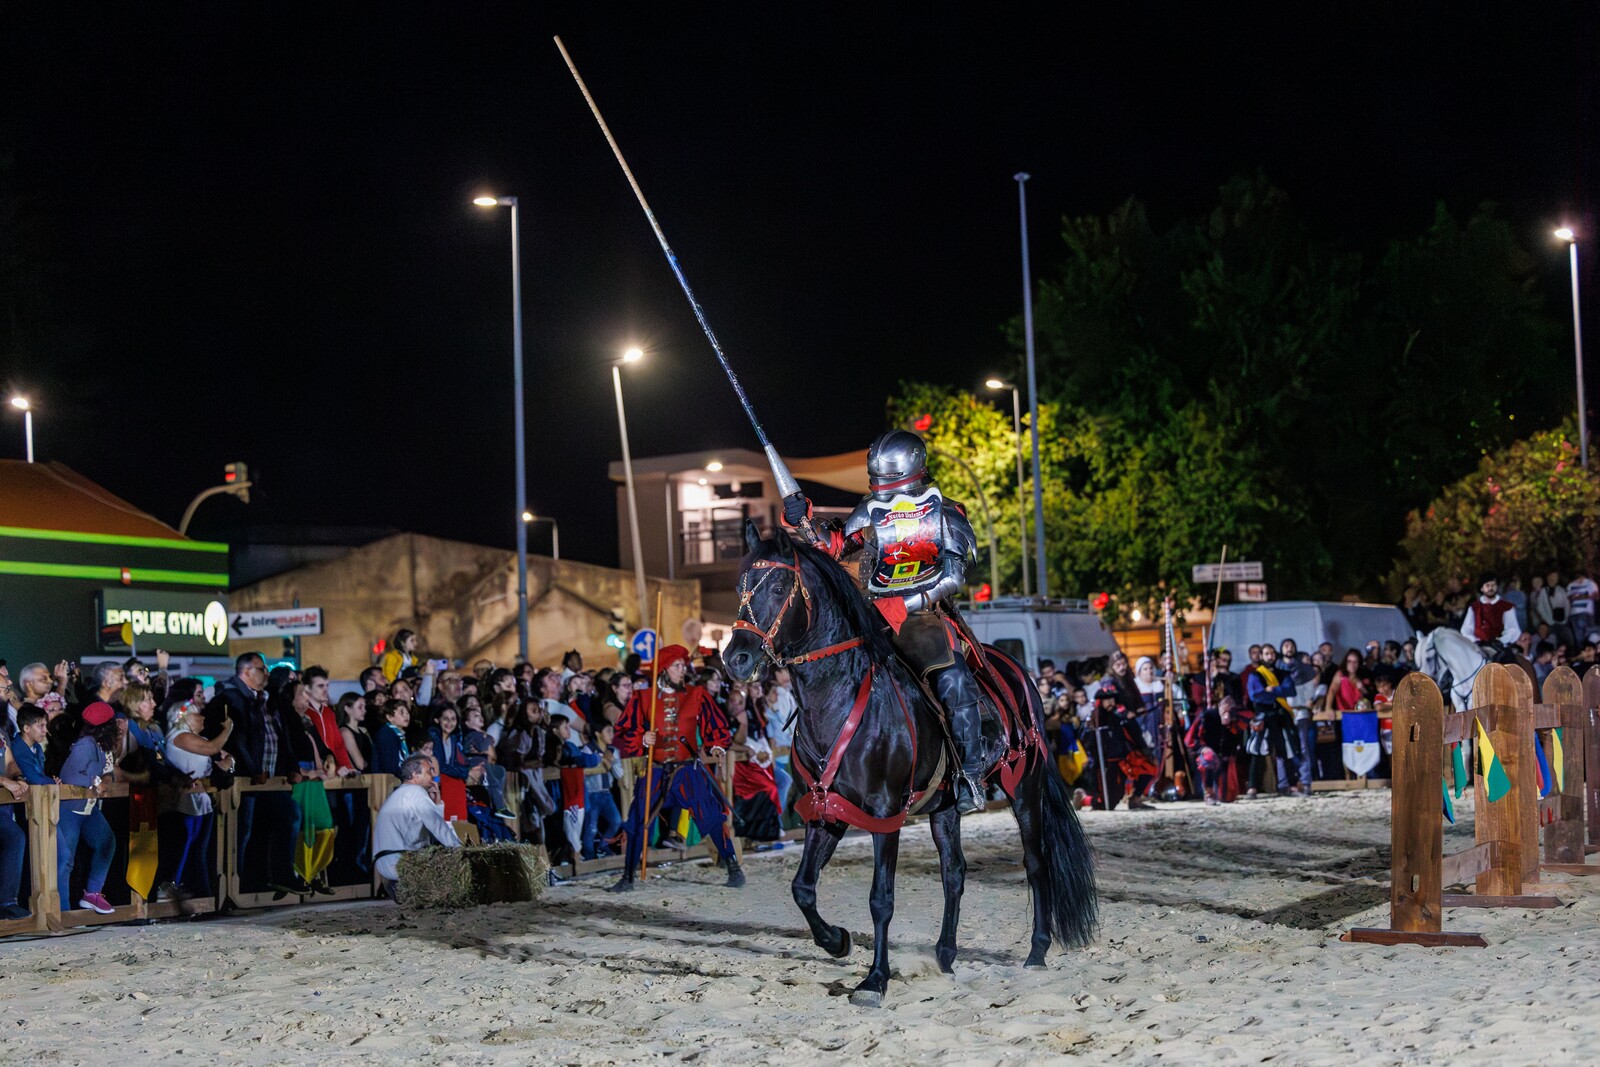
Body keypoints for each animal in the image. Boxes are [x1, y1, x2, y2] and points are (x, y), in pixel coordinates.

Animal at [721, 521, 1097, 1006]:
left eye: (780, 586)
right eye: (740, 587)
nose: (736, 658)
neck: (840, 696)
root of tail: (1015, 671)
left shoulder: (885, 815)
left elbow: (881, 898)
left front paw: (874, 980)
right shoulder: (826, 813)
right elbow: (802, 888)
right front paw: (837, 941)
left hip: (1025, 788)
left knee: (1035, 863)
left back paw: (1036, 952)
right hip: (944, 806)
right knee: (954, 873)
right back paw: (945, 955)